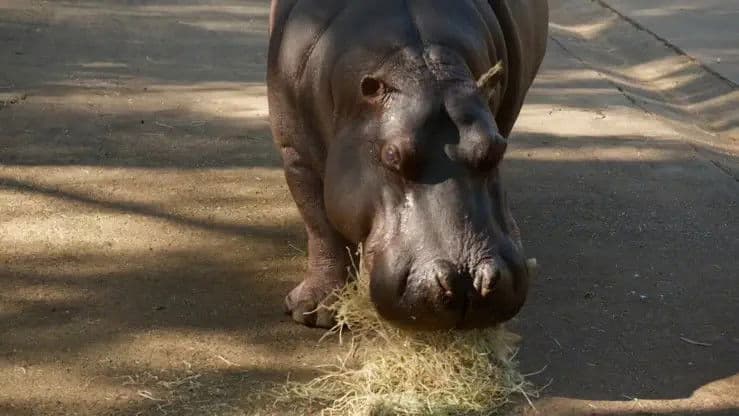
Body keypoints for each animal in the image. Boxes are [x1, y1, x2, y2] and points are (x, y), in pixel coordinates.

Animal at [267, 0, 548, 330]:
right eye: (392, 156)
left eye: (497, 149)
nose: (465, 282)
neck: (415, 63)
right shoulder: (297, 154)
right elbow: (322, 227)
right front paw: (315, 313)